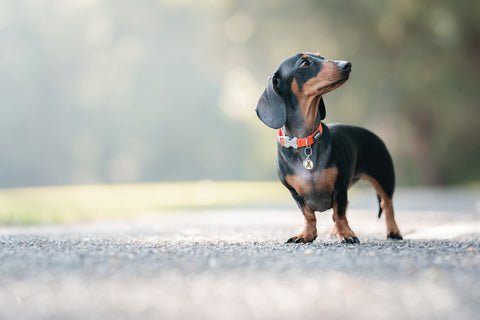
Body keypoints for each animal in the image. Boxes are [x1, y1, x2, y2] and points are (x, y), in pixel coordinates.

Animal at [255, 52, 402, 244]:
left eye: (321, 57)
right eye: (305, 63)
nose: (347, 65)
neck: (305, 141)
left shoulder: (339, 187)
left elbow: (338, 214)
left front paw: (346, 233)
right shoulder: (295, 193)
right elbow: (309, 215)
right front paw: (306, 234)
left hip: (383, 177)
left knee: (387, 204)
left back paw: (393, 231)